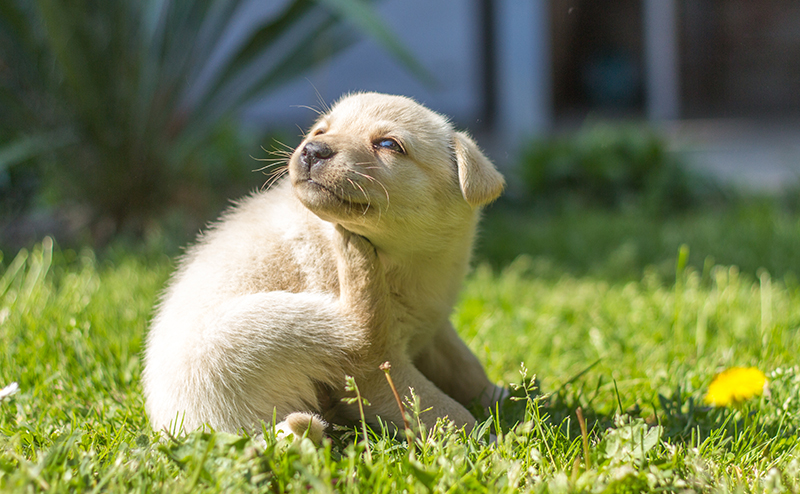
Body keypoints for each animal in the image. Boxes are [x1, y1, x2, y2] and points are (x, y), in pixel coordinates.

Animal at [142, 90, 506, 438]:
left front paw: (502, 395)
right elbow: (444, 413)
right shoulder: (379, 375)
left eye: (389, 144)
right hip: (258, 326)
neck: (407, 261)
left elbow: (465, 367)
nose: (312, 149)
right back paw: (355, 256)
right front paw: (484, 436)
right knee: (361, 340)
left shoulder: (435, 325)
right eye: (321, 131)